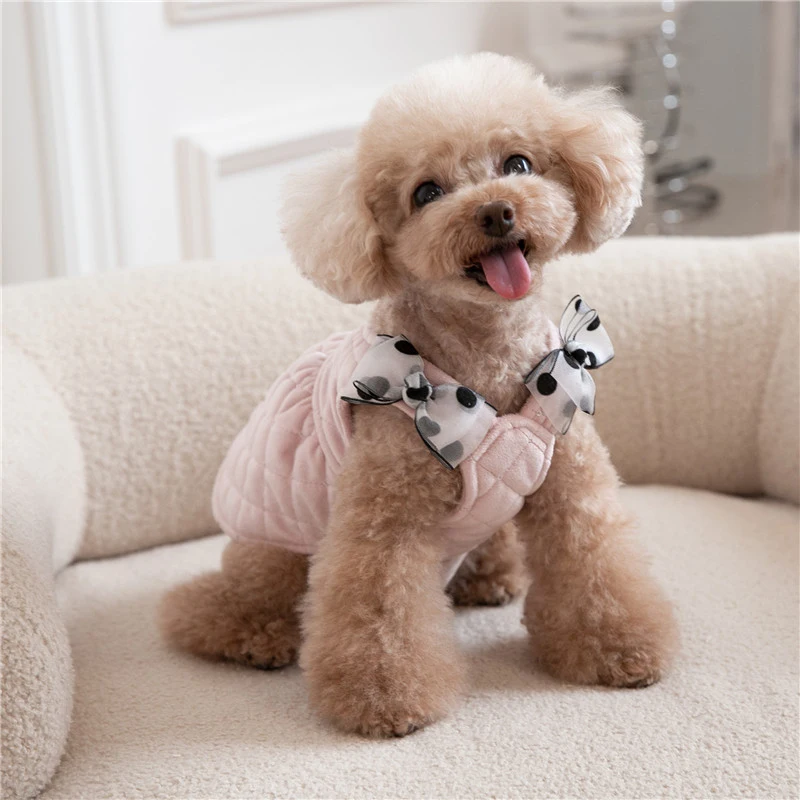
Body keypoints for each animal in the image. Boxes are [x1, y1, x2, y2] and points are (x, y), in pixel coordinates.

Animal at [160, 53, 678, 738]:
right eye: (426, 193)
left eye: (518, 164)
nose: (497, 212)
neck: (484, 352)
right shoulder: (387, 516)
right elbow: (381, 610)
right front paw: (386, 701)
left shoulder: (570, 486)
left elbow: (595, 567)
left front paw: (621, 649)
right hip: (273, 546)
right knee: (222, 601)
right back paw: (252, 635)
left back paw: (492, 578)